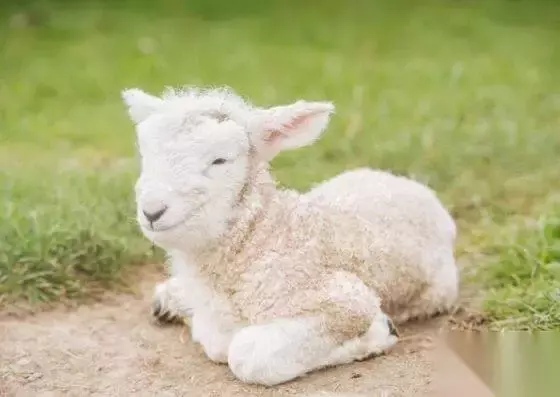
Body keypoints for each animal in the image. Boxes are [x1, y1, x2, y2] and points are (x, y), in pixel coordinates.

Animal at [120, 85, 458, 386]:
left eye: (220, 160)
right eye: (146, 155)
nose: (152, 211)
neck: (268, 236)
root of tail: (411, 185)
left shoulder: (344, 299)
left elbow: (245, 355)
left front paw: (377, 334)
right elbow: (215, 341)